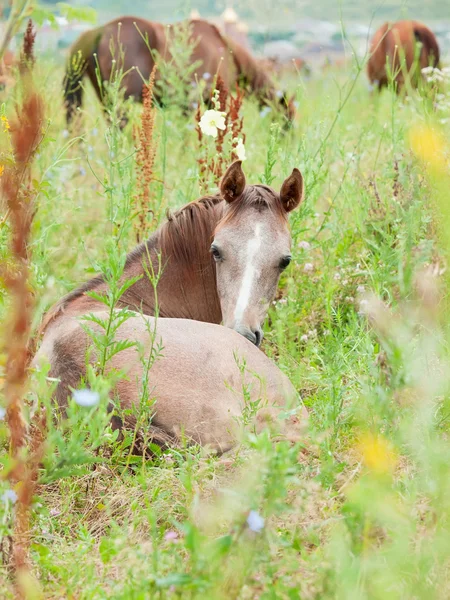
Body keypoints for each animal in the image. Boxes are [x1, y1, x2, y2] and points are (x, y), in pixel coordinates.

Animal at [64, 16, 296, 122]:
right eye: (289, 117)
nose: (289, 139)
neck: (227, 52)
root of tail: (98, 31)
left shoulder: (189, 104)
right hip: (119, 100)